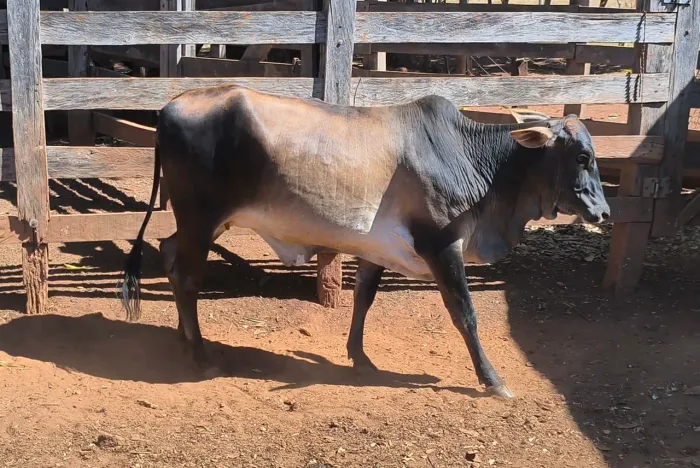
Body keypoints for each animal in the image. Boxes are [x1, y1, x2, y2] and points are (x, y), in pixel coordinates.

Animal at [119, 85, 610, 399]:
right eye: (582, 157)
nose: (603, 213)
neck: (474, 163)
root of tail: (171, 105)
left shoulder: (377, 250)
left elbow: (363, 299)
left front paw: (359, 359)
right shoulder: (441, 245)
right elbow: (465, 314)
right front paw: (493, 381)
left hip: (204, 223)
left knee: (168, 255)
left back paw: (185, 340)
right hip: (202, 218)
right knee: (187, 277)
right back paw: (202, 356)